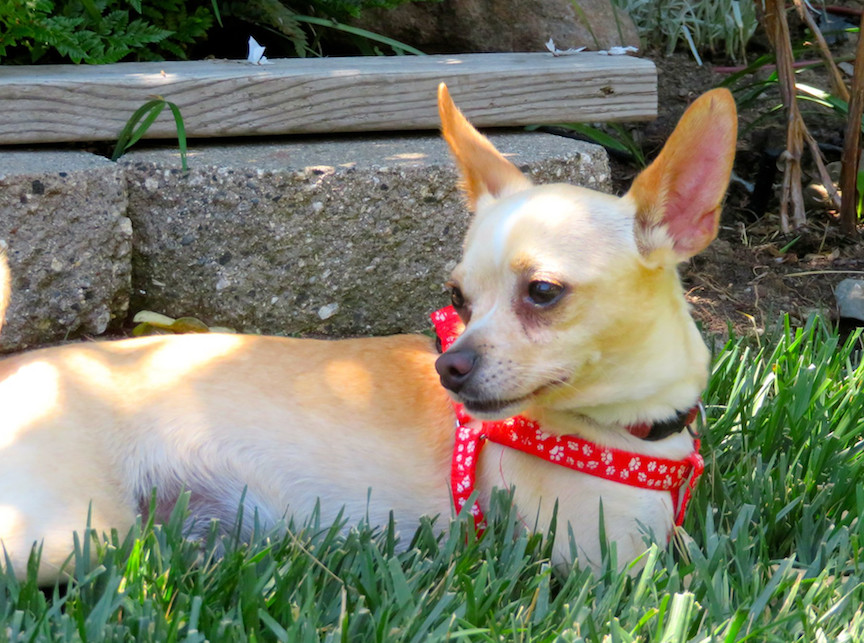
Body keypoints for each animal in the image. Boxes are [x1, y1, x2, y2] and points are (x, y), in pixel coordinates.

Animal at [0, 82, 736, 584]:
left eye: (543, 293)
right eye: (458, 298)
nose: (448, 368)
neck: (636, 432)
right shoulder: (607, 565)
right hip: (77, 532)